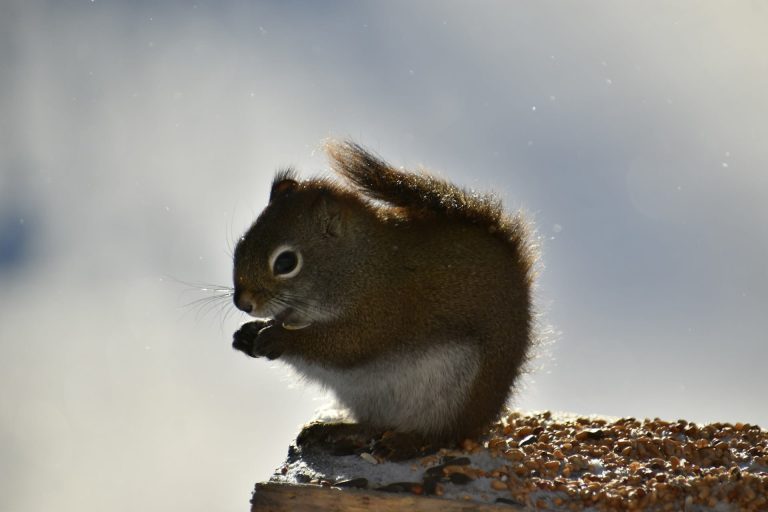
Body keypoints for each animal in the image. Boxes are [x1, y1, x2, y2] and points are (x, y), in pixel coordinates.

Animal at [232, 141, 537, 451]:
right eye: (241, 243)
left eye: (286, 263)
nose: (243, 304)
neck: (360, 266)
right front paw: (248, 333)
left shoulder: (382, 311)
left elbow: (345, 345)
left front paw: (279, 337)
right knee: (373, 426)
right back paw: (337, 431)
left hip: (454, 393)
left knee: (443, 435)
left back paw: (405, 445)